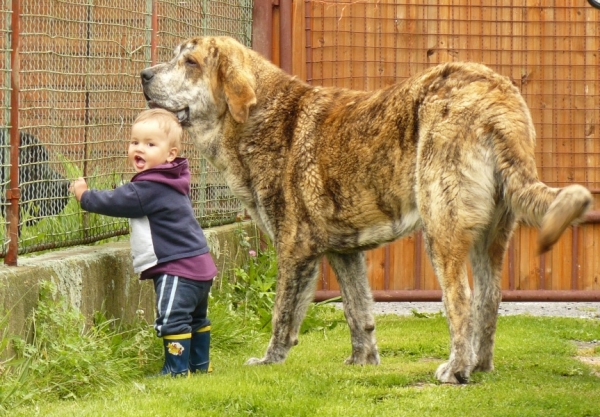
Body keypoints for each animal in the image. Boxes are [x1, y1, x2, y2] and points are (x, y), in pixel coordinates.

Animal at [139, 36, 592, 384]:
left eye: (190, 62)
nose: (144, 75)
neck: (255, 116)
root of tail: (497, 96)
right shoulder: (344, 251)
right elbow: (359, 311)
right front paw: (363, 362)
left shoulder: (295, 248)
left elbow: (283, 315)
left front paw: (269, 360)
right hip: (490, 236)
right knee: (489, 297)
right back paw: (479, 366)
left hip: (440, 224)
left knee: (460, 298)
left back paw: (456, 370)